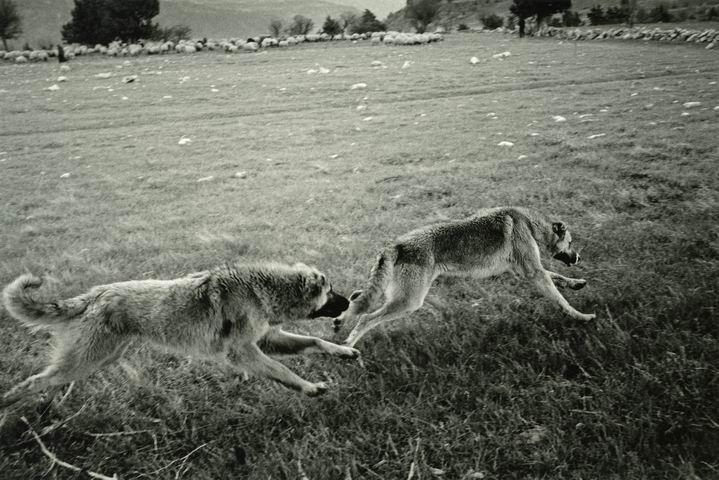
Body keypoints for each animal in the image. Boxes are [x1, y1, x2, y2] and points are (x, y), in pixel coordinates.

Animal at [1, 260, 358, 406]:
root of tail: (96, 293)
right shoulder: (243, 352)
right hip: (84, 361)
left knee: (44, 382)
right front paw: (308, 387)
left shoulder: (266, 341)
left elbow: (315, 341)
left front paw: (342, 351)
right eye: (331, 291)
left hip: (99, 358)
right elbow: (283, 370)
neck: (259, 289)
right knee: (32, 382)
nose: (351, 299)